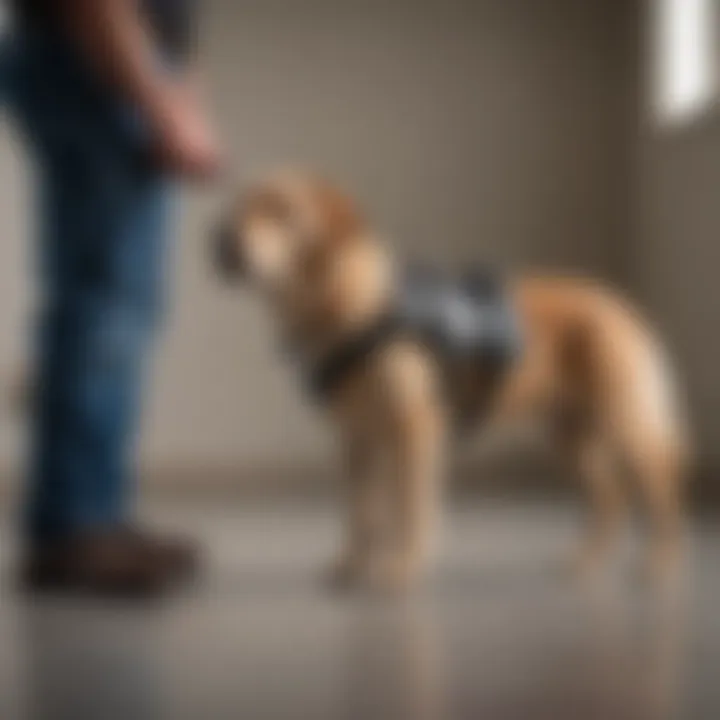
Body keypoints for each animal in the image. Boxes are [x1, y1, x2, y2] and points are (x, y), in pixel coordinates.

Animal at [215, 170, 692, 592]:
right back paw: (584, 563)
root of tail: (619, 307)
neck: (347, 302)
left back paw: (660, 564)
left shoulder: (414, 432)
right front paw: (352, 566)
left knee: (664, 487)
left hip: (627, 426)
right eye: (238, 206)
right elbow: (361, 515)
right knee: (611, 498)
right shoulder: (357, 442)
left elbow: (409, 512)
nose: (219, 240)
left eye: (281, 209)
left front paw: (401, 568)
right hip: (570, 436)